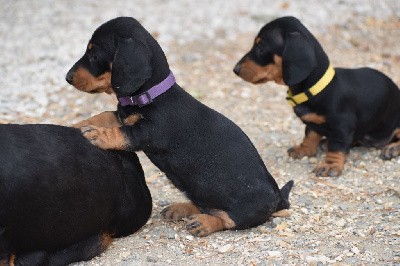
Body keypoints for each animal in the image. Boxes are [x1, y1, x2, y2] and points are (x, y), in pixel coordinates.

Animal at [66, 16, 294, 237]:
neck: (151, 96)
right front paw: (78, 124)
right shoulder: (123, 117)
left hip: (246, 209)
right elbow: (103, 115)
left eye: (94, 55)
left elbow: (123, 134)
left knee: (227, 219)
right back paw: (182, 208)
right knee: (206, 206)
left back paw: (204, 223)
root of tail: (279, 198)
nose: (67, 78)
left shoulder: (150, 132)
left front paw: (99, 135)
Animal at [233, 16, 400, 177]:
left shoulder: (342, 126)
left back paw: (392, 148)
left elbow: (337, 147)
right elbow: (310, 135)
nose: (235, 69)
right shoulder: (313, 123)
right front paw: (304, 149)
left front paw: (330, 165)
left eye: (260, 48)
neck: (317, 89)